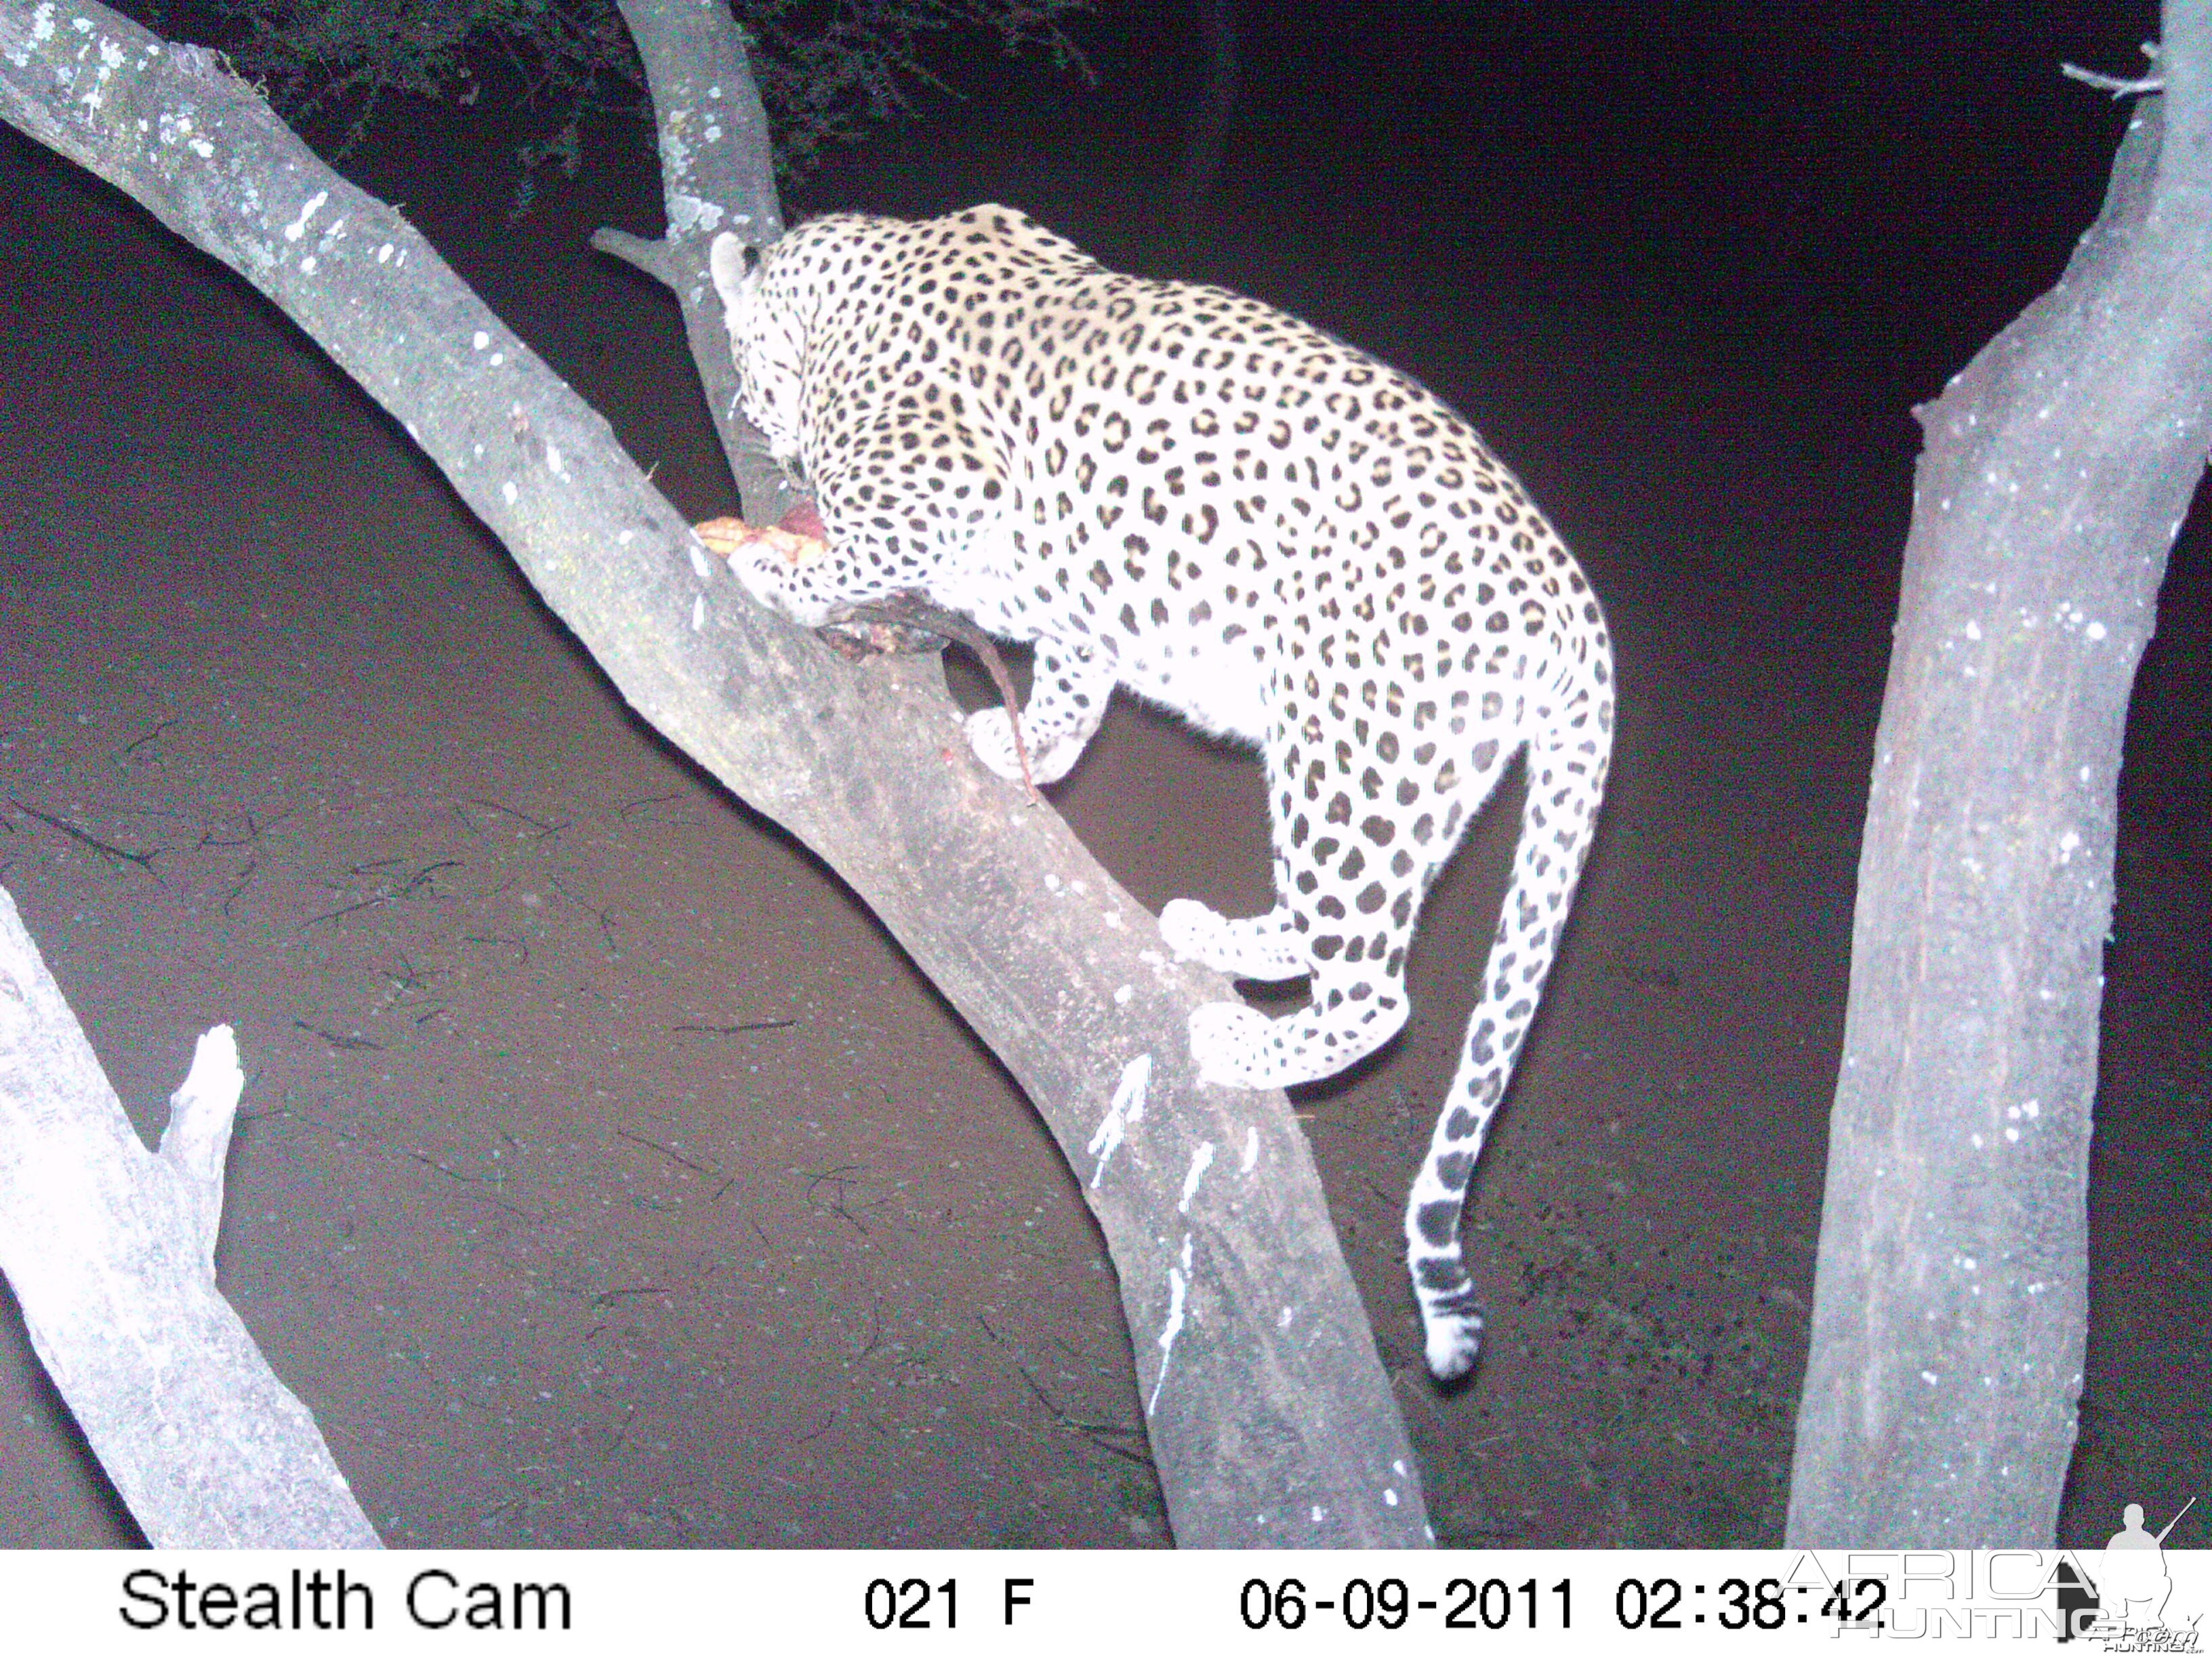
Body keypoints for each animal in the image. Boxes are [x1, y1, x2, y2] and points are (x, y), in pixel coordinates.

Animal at [716, 201, 1619, 1380]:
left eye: (752, 374)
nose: (760, 429)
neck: (855, 285)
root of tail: (1574, 603)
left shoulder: (940, 485)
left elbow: (860, 554)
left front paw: (771, 569)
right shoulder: (1070, 582)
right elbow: (1069, 671)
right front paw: (1027, 748)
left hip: (1351, 752)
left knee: (1378, 989)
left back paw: (1246, 1043)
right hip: (1397, 777)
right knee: (1338, 923)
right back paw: (1216, 936)